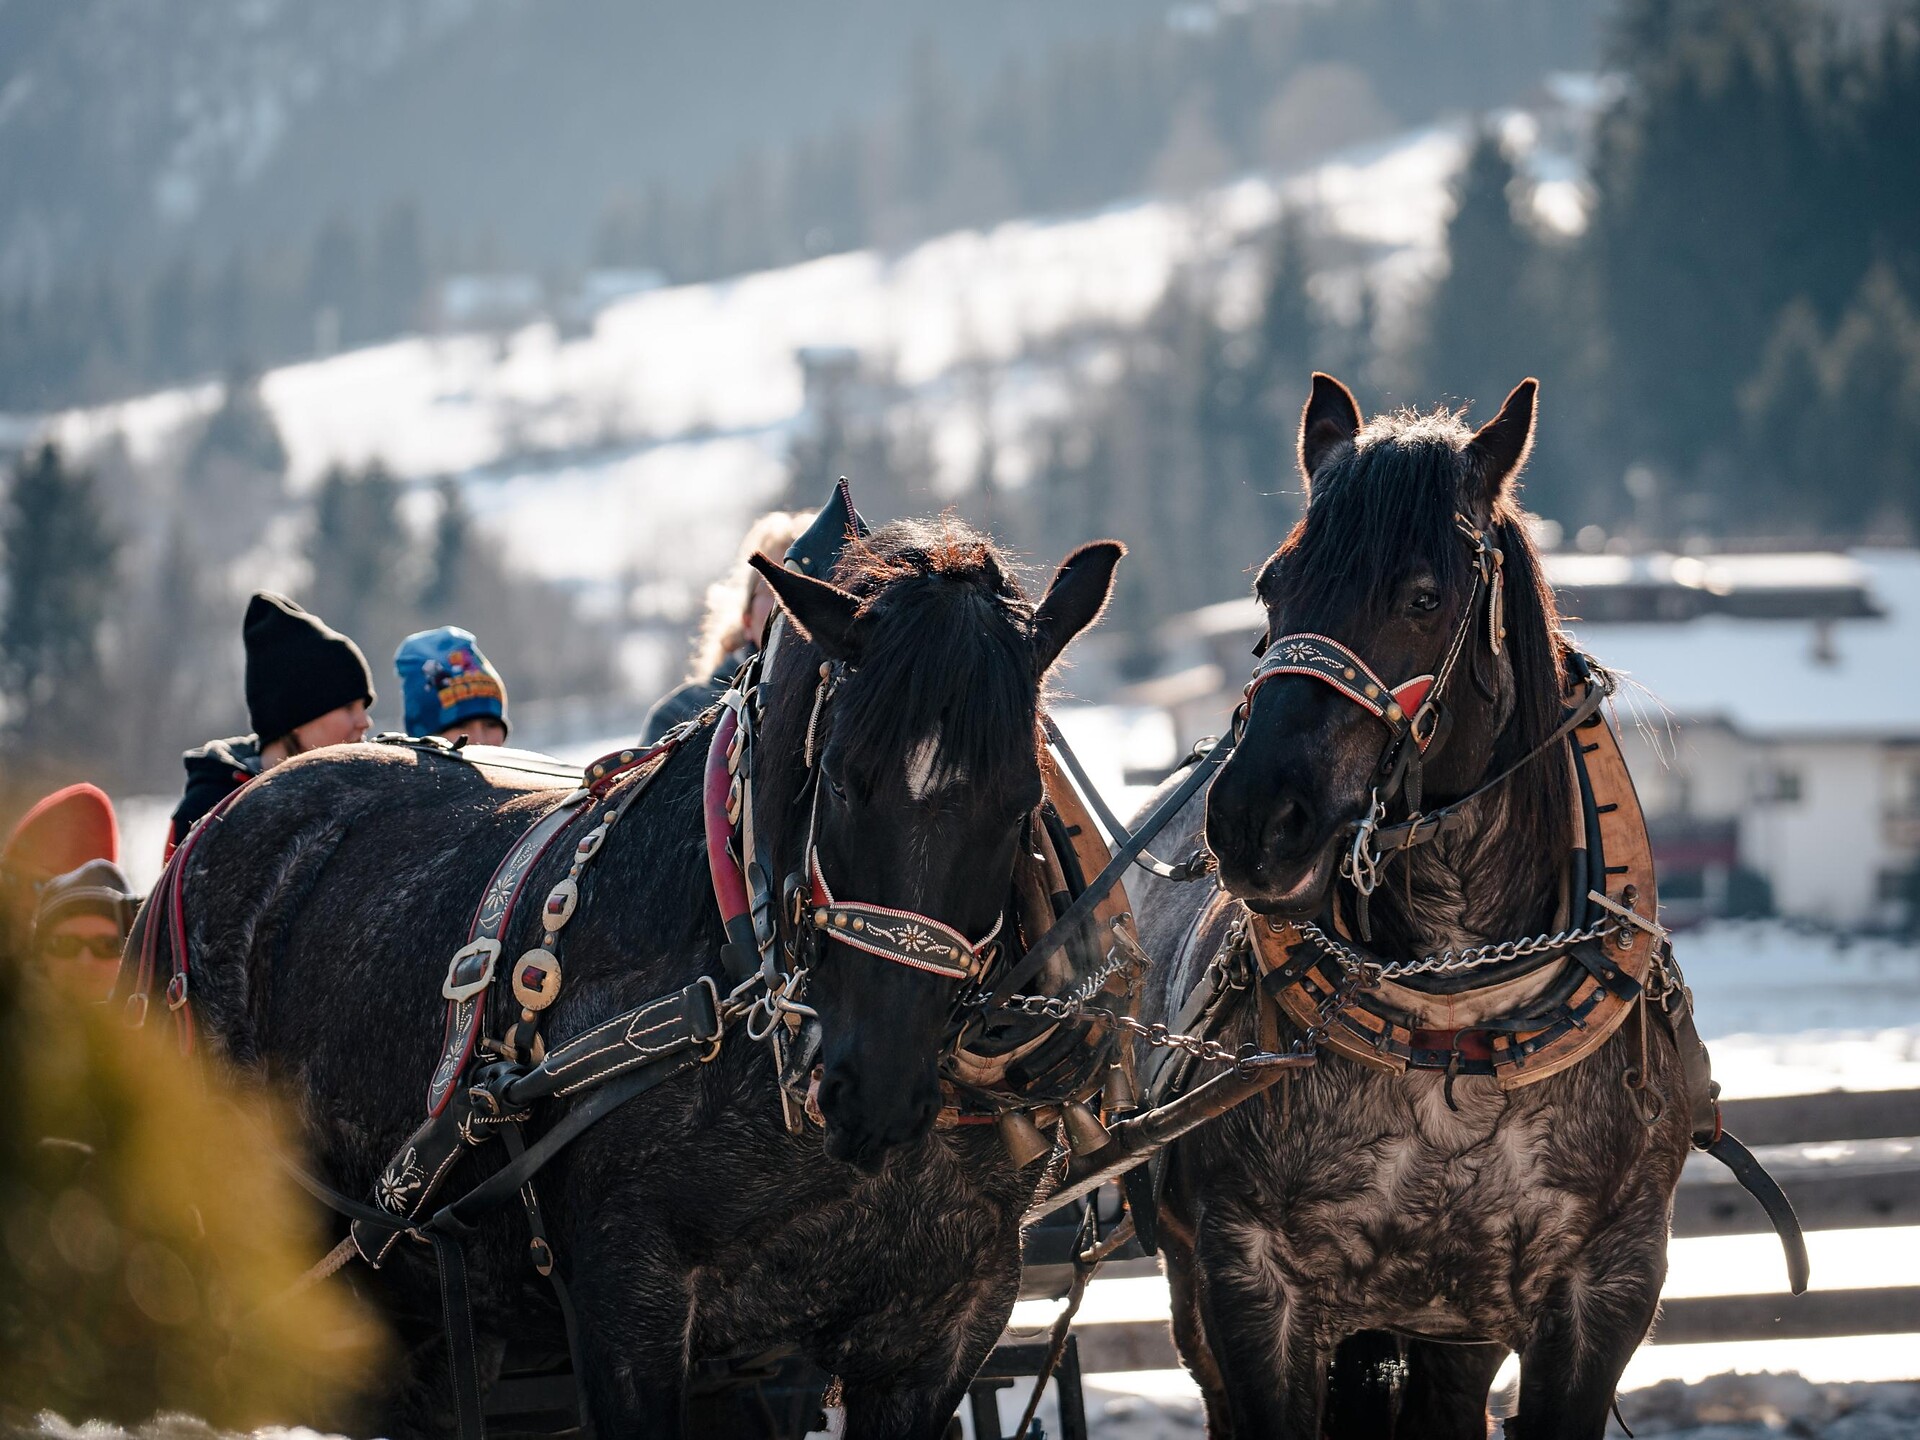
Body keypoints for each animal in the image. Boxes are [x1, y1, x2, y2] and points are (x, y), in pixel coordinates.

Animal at [156, 515, 1122, 1438]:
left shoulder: (940, 1327)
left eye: (1021, 800)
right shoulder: (629, 1307)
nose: (875, 1092)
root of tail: (221, 824)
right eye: (845, 783)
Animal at [1130, 375, 1693, 1439]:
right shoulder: (1248, 1285)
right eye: (1272, 585)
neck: (1455, 1016)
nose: (1255, 819)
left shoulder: (1605, 1289)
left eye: (1424, 597)